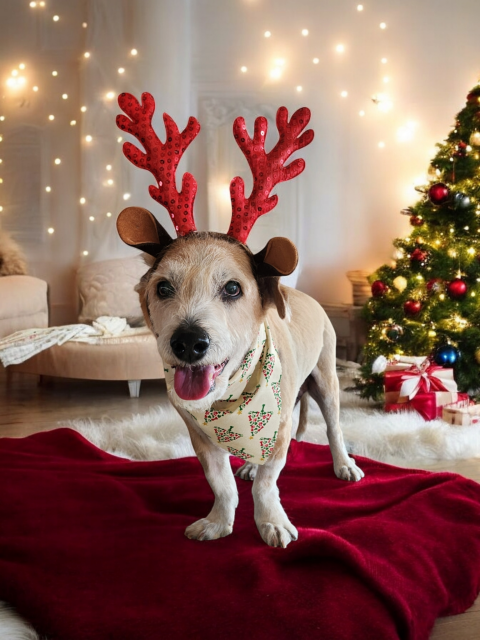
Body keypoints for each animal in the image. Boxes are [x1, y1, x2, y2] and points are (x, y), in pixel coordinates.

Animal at [116, 92, 364, 548]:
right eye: (163, 288)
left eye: (233, 288)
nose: (188, 342)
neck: (228, 400)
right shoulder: (198, 434)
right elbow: (222, 482)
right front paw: (219, 520)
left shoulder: (279, 425)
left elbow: (268, 482)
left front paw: (272, 522)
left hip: (326, 381)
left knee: (335, 429)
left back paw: (344, 464)